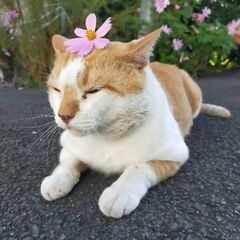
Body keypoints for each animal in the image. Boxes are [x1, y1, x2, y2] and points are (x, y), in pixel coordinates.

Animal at [40, 29, 230, 218]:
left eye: (93, 91)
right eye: (57, 90)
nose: (63, 115)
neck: (106, 137)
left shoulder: (175, 154)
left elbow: (139, 167)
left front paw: (119, 193)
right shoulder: (70, 143)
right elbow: (68, 161)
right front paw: (56, 179)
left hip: (195, 94)